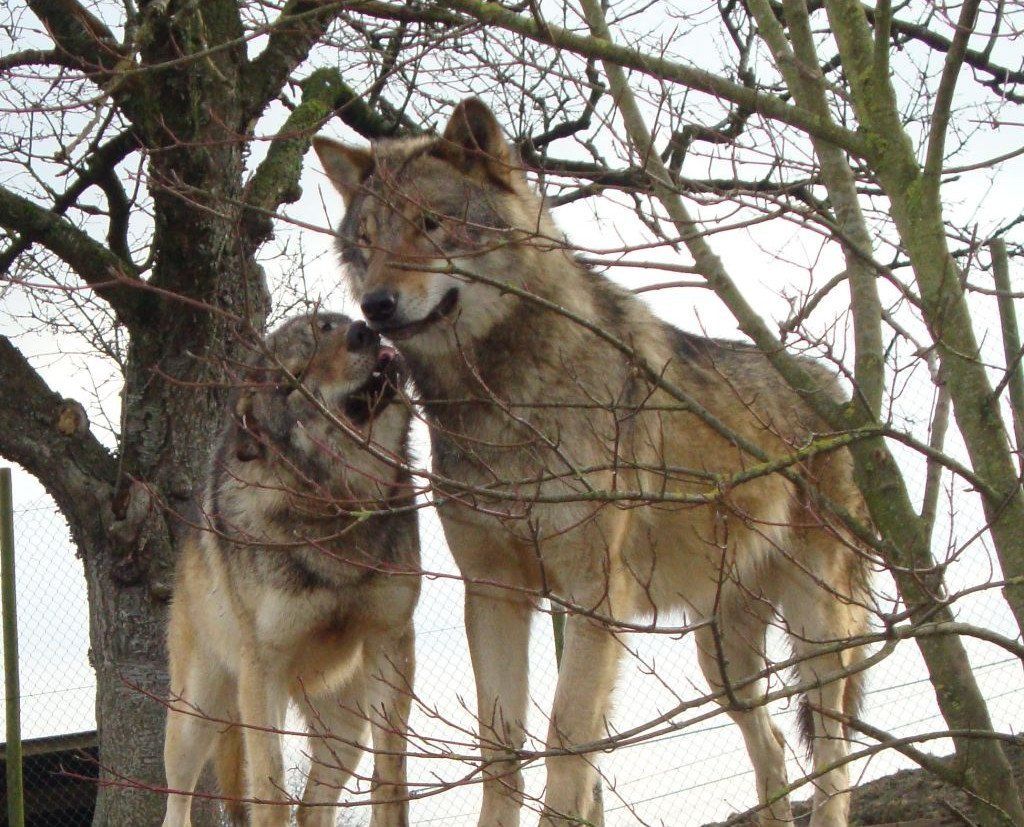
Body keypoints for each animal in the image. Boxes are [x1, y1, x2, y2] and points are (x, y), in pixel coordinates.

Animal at [162, 312, 419, 827]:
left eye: (329, 326)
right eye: (295, 380)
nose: (362, 330)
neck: (336, 505)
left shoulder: (390, 641)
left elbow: (390, 781)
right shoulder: (264, 671)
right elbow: (270, 793)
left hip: (345, 729)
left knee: (314, 807)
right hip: (196, 717)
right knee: (177, 802)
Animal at [313, 98, 872, 827]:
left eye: (431, 224)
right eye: (367, 242)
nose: (374, 306)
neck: (503, 401)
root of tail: (832, 391)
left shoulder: (592, 594)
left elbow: (566, 739)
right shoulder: (494, 592)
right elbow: (501, 751)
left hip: (817, 632)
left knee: (833, 751)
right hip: (722, 659)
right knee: (773, 742)